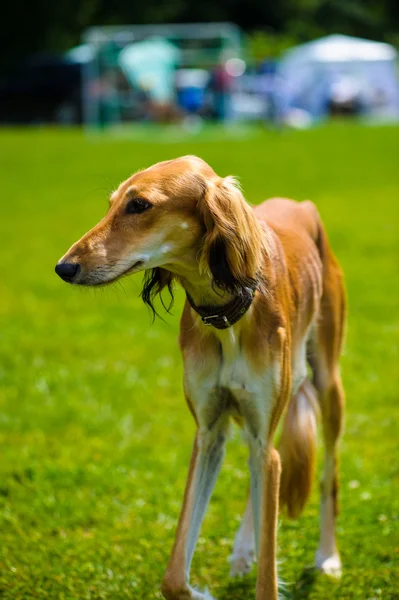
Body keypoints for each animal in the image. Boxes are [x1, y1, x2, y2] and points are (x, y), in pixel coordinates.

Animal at [56, 156, 346, 600]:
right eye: (111, 204)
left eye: (139, 205)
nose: (64, 267)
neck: (228, 311)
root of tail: (300, 204)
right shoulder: (209, 431)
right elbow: (174, 576)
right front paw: (203, 589)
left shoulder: (259, 426)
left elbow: (267, 576)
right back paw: (244, 550)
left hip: (328, 383)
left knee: (327, 474)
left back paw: (327, 556)